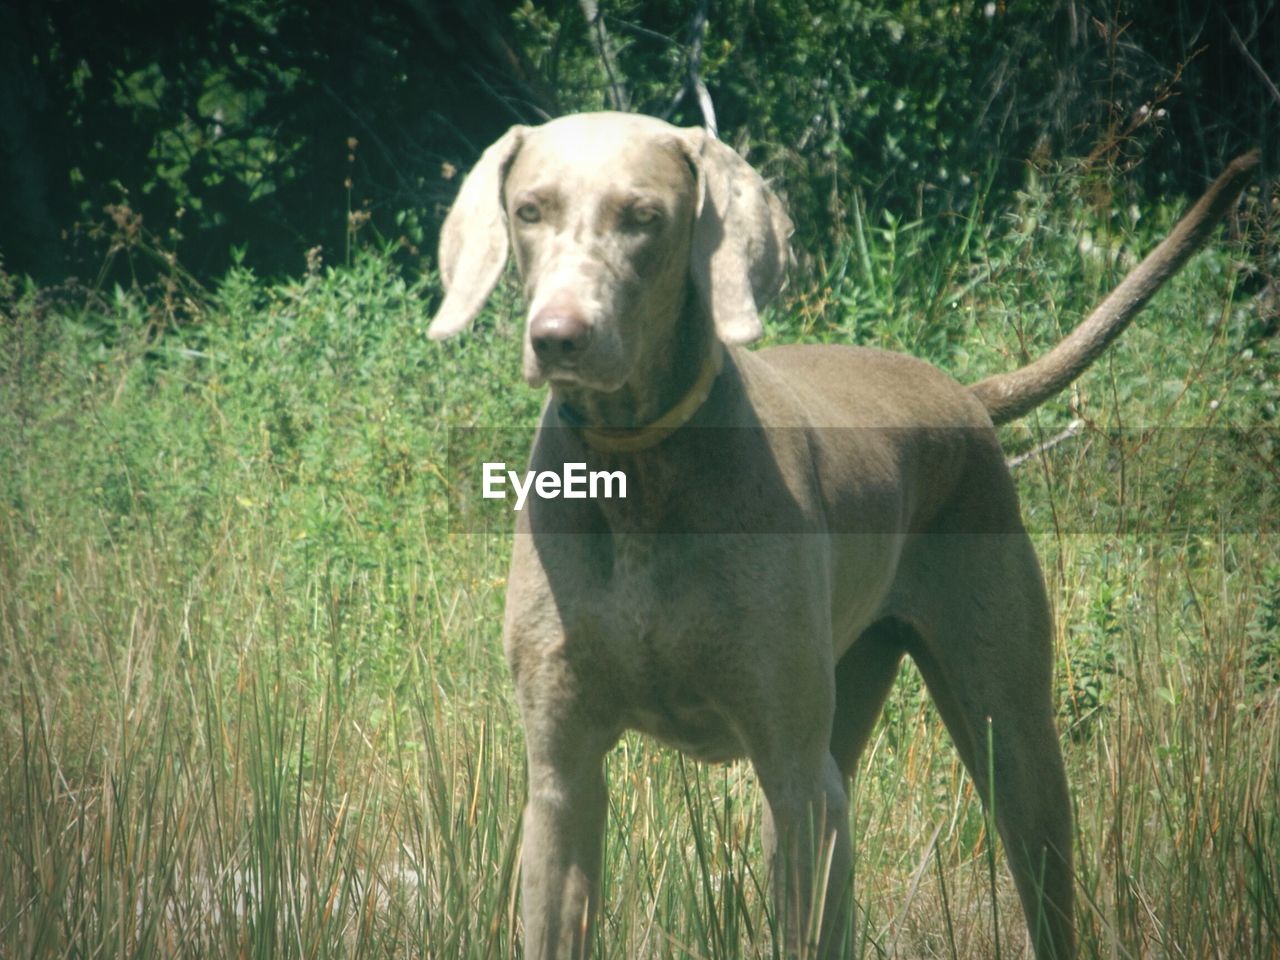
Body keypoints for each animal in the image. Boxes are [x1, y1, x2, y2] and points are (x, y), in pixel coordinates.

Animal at [430, 108, 1259, 957]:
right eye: (529, 210)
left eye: (644, 218)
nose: (558, 337)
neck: (638, 472)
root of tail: (967, 396)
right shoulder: (560, 780)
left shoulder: (798, 778)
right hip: (849, 699)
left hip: (1006, 729)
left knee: (1040, 861)